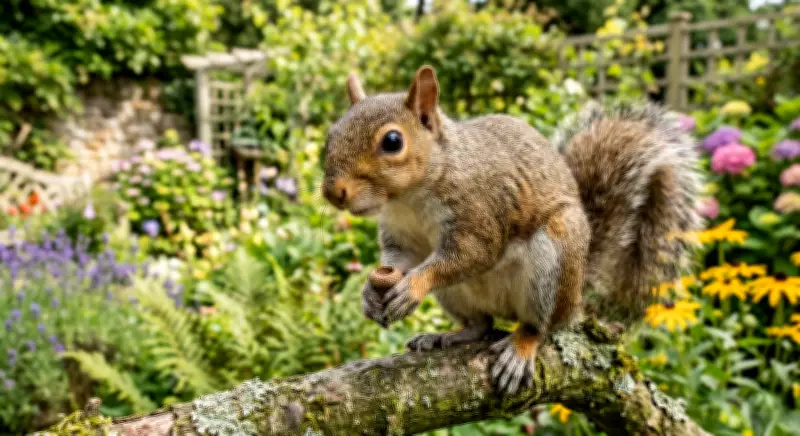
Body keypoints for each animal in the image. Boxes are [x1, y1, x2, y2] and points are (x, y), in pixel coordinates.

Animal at [322, 65, 702, 395]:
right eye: (331, 134)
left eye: (392, 141)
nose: (332, 192)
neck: (409, 197)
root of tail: (578, 296)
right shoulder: (400, 233)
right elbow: (399, 259)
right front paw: (370, 294)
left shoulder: (479, 212)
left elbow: (472, 254)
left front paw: (413, 285)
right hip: (458, 295)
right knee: (482, 325)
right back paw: (449, 335)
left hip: (552, 264)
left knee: (539, 326)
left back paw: (521, 347)